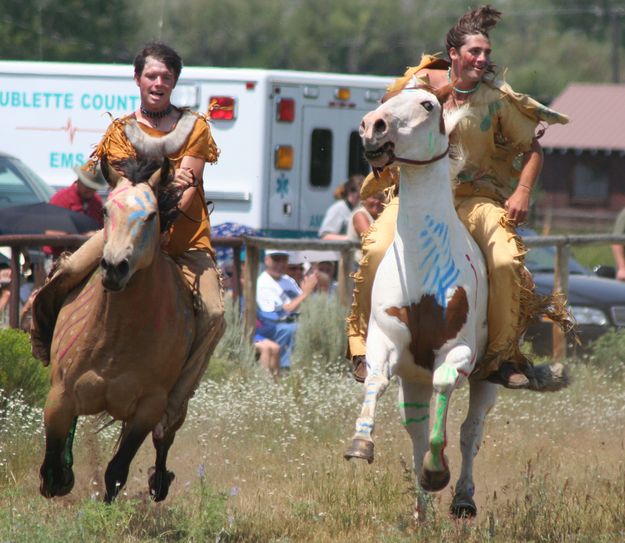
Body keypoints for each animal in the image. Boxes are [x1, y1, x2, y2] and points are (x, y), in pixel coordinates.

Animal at [37, 155, 194, 504]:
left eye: (151, 215)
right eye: (107, 210)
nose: (113, 267)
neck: (114, 337)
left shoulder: (149, 407)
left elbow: (117, 470)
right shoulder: (60, 394)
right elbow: (52, 463)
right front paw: (59, 478)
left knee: (165, 438)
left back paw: (159, 480)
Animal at [346, 85, 564, 524]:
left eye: (427, 104)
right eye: (389, 99)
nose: (372, 126)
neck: (423, 261)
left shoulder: (458, 352)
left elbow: (446, 388)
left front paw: (436, 472)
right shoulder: (385, 342)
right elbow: (376, 380)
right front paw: (362, 444)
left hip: (486, 380)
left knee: (469, 432)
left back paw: (461, 497)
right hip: (412, 378)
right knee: (416, 427)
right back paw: (421, 510)